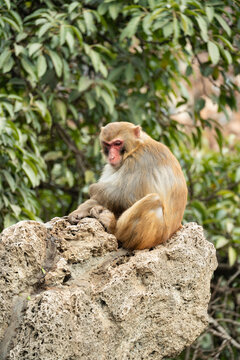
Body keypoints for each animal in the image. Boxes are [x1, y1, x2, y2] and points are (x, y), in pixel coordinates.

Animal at [67, 121, 188, 250]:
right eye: (107, 145)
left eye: (117, 143)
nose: (111, 157)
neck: (136, 146)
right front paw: (80, 211)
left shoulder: (140, 160)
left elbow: (129, 197)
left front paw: (92, 189)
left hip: (158, 235)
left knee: (153, 200)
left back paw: (113, 228)